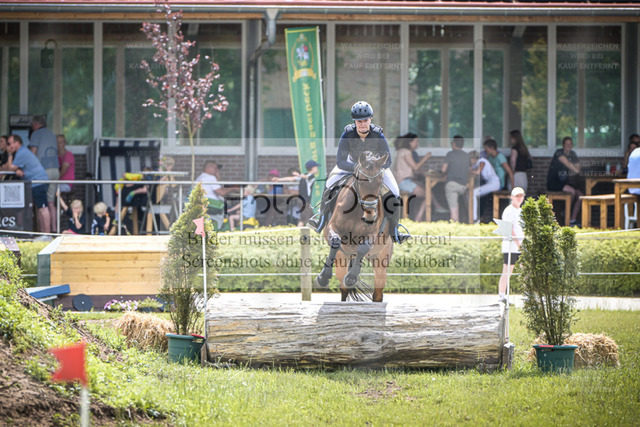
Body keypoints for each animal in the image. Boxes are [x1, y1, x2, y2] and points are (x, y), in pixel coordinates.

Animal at [314, 151, 394, 302]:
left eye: (380, 182)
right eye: (360, 181)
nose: (370, 217)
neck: (357, 210)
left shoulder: (373, 235)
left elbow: (362, 248)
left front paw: (351, 277)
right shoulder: (332, 228)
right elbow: (335, 241)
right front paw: (323, 278)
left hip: (381, 261)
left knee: (378, 293)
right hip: (342, 259)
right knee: (344, 289)